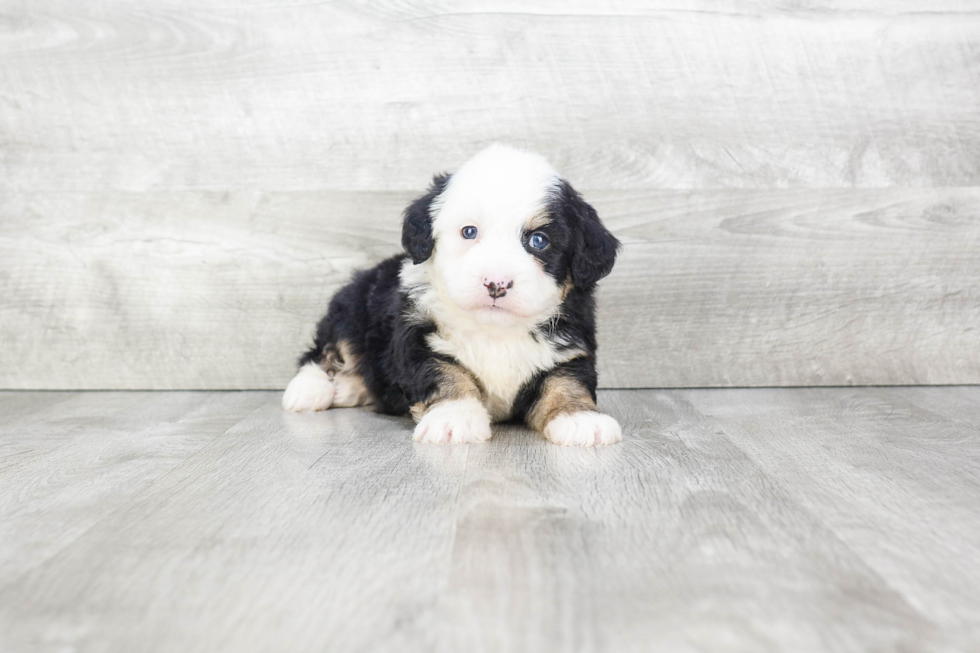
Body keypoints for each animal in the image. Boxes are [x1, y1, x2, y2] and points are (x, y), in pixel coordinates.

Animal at [282, 145, 620, 446]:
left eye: (539, 240)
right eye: (469, 232)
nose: (496, 283)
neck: (495, 331)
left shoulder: (570, 348)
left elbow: (566, 382)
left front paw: (580, 418)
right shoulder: (418, 339)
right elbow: (445, 373)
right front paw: (453, 418)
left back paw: (351, 389)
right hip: (351, 308)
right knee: (325, 352)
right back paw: (310, 391)